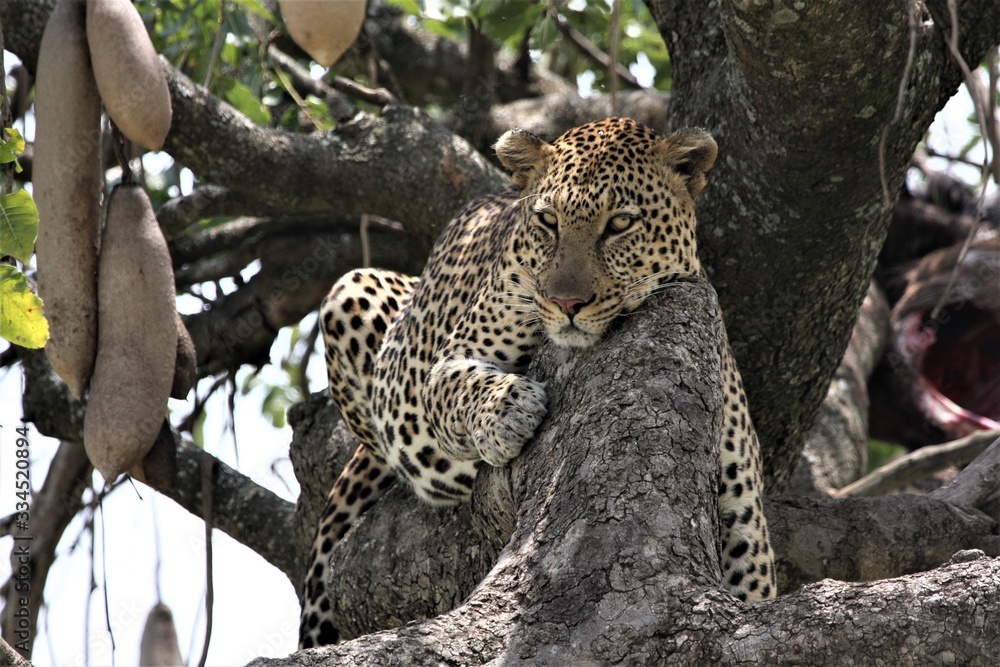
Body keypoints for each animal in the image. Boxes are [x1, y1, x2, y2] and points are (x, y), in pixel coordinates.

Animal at [298, 117, 776, 649]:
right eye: (548, 222)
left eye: (620, 224)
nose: (567, 302)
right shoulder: (448, 362)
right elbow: (458, 386)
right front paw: (509, 410)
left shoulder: (748, 534)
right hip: (351, 293)